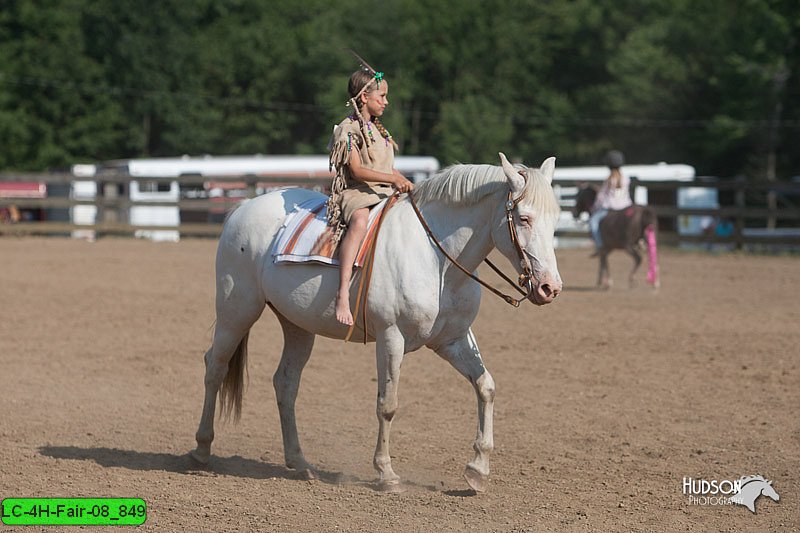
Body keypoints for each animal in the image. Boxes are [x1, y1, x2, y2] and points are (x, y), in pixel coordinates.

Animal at [191, 151, 564, 490]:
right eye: (524, 218)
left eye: (555, 220)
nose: (550, 287)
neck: (436, 258)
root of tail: (243, 208)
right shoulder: (391, 337)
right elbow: (388, 404)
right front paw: (386, 473)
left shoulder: (453, 340)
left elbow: (486, 387)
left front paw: (477, 470)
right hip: (237, 311)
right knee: (215, 367)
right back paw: (202, 450)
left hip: (297, 326)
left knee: (285, 383)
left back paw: (299, 462)